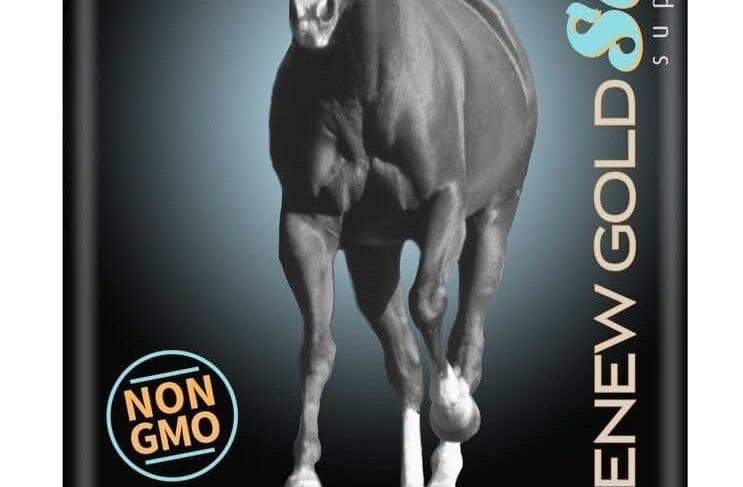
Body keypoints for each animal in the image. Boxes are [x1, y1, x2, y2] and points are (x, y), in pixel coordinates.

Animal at [269, 0, 536, 485]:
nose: (311, 16)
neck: (364, 88)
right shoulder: (305, 222)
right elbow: (317, 347)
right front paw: (303, 470)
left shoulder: (445, 205)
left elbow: (427, 301)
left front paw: (453, 410)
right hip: (374, 256)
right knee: (406, 367)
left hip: (494, 218)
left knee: (468, 340)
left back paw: (450, 455)